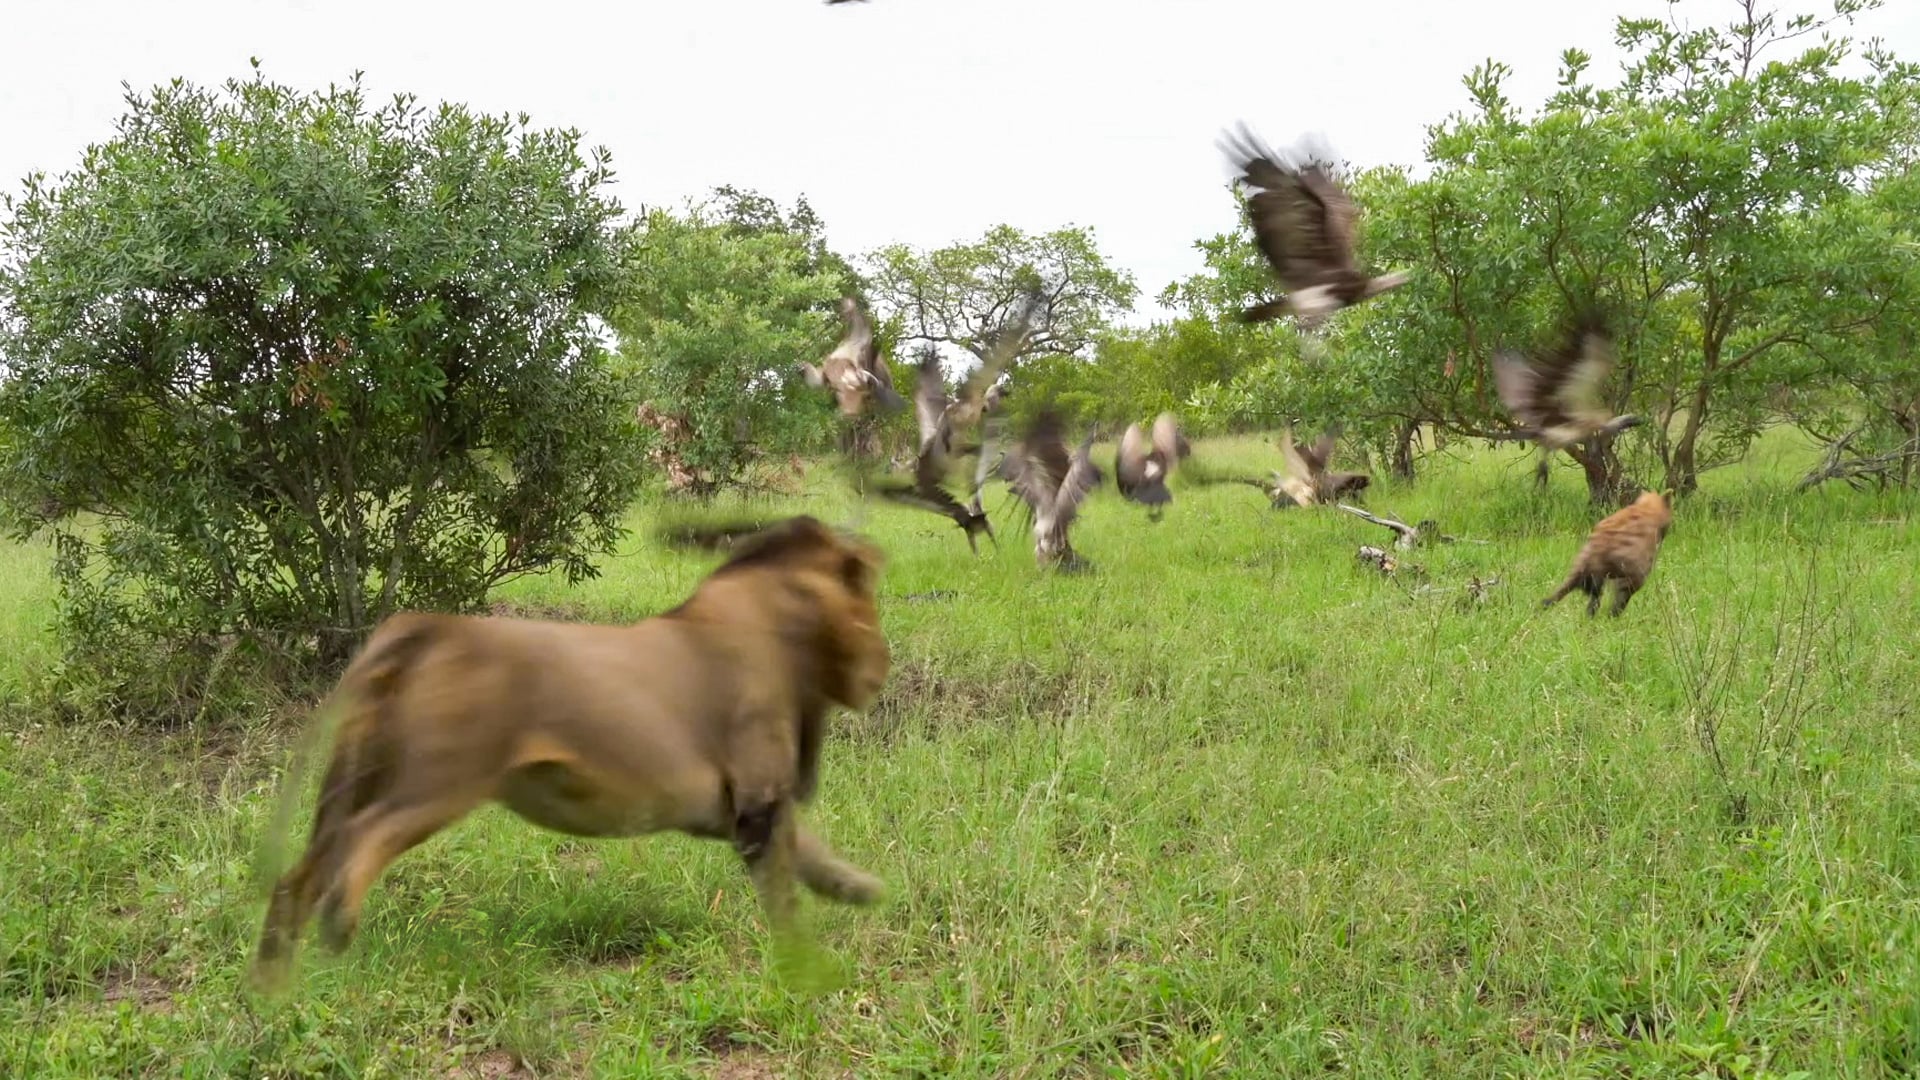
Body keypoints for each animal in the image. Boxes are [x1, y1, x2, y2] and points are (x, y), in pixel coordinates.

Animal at [249, 515, 891, 992]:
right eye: (869, 600)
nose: (882, 665)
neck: (780, 631)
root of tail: (427, 625)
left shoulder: (741, 811)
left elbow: (812, 859)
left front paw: (861, 889)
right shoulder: (757, 802)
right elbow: (784, 900)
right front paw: (803, 971)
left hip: (362, 778)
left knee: (295, 883)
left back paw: (270, 999)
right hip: (442, 779)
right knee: (363, 840)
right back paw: (339, 920)